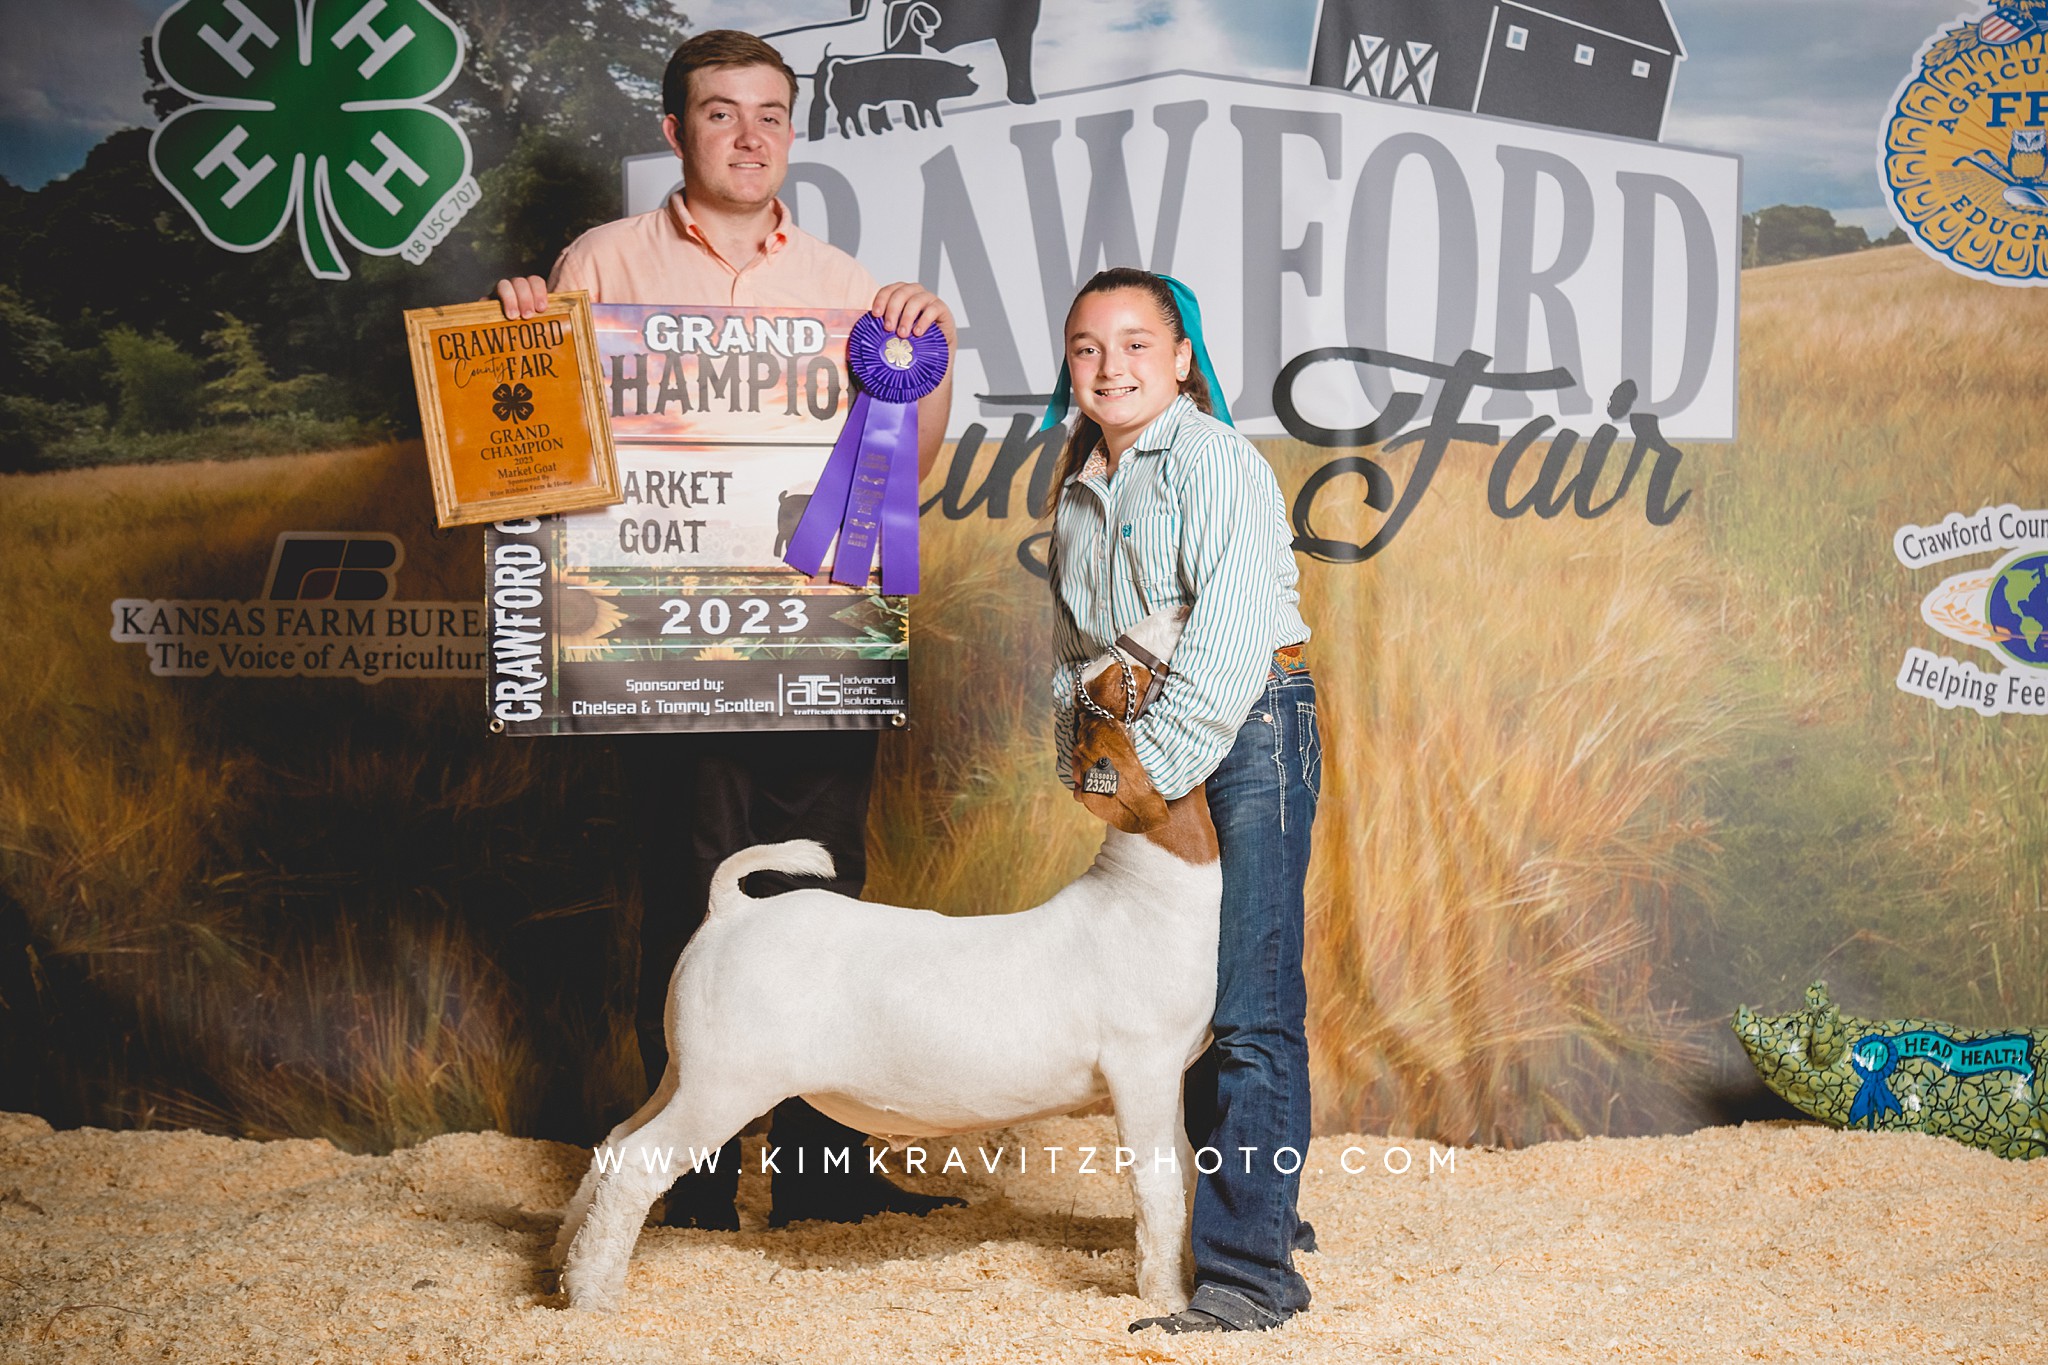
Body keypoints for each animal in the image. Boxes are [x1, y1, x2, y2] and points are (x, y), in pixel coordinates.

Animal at [552, 609, 1212, 1309]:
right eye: (1120, 677)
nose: (1178, 612)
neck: (1144, 891)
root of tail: (731, 909)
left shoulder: (1170, 1074)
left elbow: (1188, 1170)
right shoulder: (1141, 1066)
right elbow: (1158, 1188)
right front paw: (1167, 1301)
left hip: (686, 1071)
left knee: (614, 1142)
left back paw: (558, 1265)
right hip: (725, 1084)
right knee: (637, 1164)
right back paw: (592, 1297)